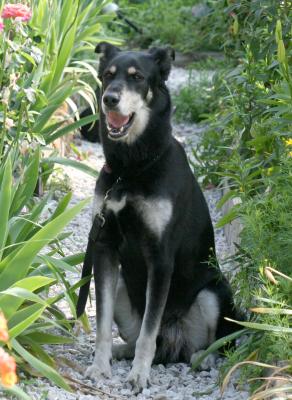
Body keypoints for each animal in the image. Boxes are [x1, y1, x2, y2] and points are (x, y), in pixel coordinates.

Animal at [77, 43, 240, 390]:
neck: (130, 169)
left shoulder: (160, 257)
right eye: (107, 75)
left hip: (212, 292)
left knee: (207, 343)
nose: (109, 99)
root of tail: (174, 340)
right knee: (140, 336)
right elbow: (103, 325)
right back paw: (121, 351)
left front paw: (139, 375)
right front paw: (100, 366)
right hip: (123, 288)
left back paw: (202, 359)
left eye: (137, 77)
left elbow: (148, 333)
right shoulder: (105, 246)